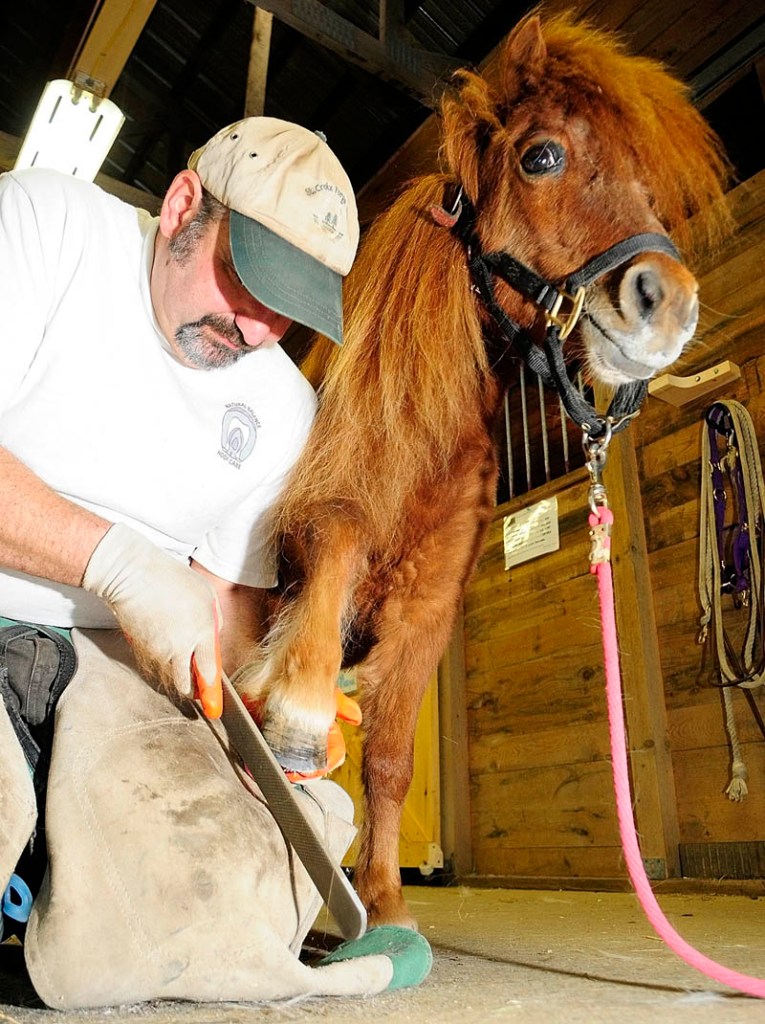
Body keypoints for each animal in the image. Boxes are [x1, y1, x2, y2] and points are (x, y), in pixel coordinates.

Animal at [236, 9, 730, 927]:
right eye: (540, 156)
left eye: (649, 183)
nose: (667, 304)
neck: (423, 437)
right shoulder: (313, 521)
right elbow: (333, 551)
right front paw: (293, 713)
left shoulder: (428, 608)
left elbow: (390, 759)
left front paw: (382, 899)